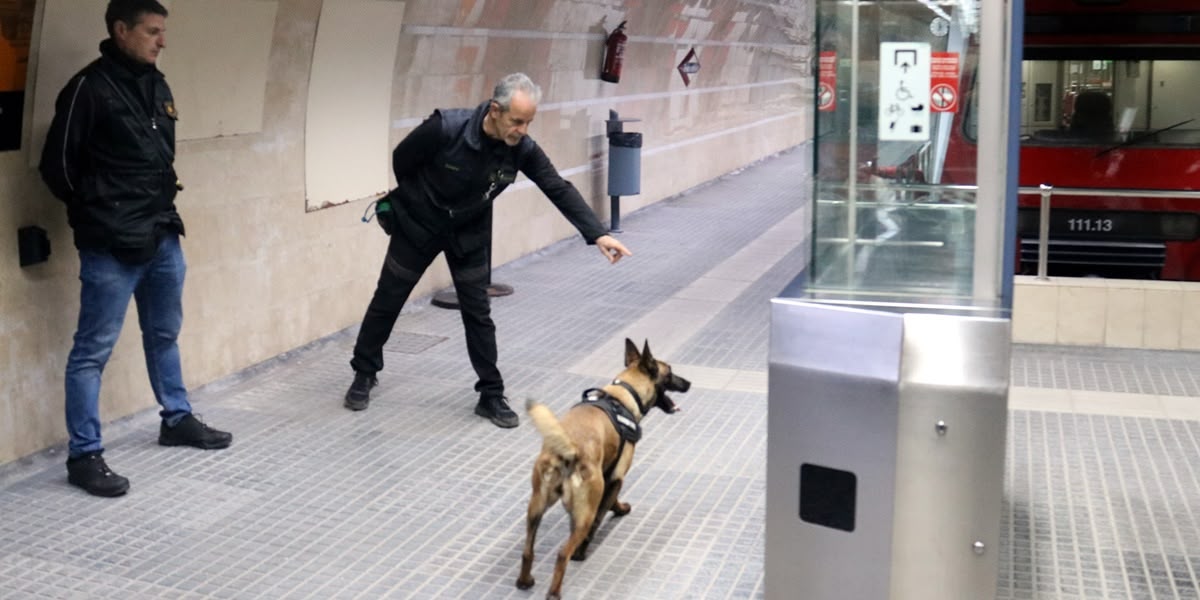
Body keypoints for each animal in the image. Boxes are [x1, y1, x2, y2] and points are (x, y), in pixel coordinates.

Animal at [516, 340, 696, 597]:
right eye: (669, 373)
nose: (689, 383)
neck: (623, 396)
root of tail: (568, 451)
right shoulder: (615, 478)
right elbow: (602, 515)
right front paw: (583, 551)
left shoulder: (606, 478)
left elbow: (610, 504)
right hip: (584, 511)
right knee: (563, 552)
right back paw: (555, 591)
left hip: (536, 507)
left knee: (527, 550)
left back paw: (524, 580)